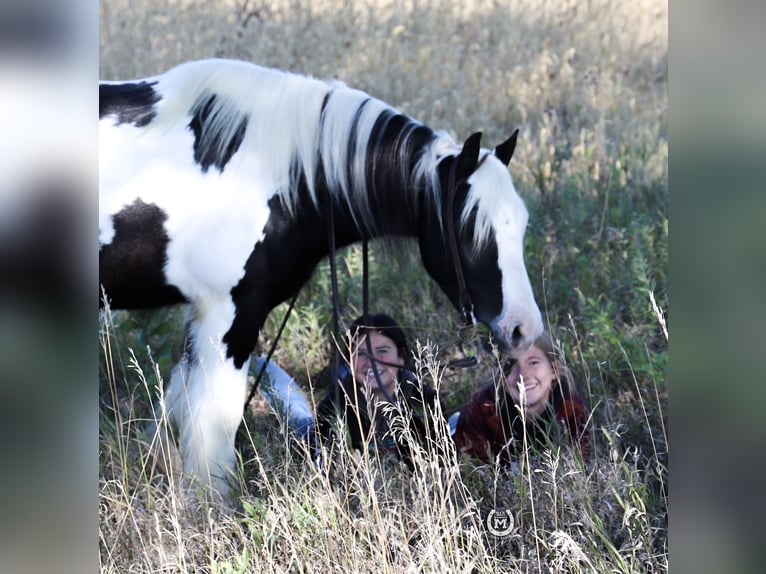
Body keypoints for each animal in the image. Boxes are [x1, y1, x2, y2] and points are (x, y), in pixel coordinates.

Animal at [100, 59, 544, 496]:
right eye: (472, 229)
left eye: (522, 223)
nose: (524, 328)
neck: (280, 173)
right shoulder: (230, 316)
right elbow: (214, 433)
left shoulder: (202, 317)